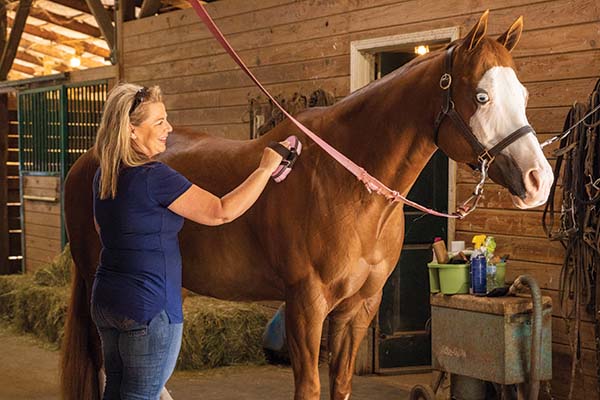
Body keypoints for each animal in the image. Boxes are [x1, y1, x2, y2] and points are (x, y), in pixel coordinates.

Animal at [61, 11, 552, 400]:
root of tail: (90, 158)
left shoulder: (360, 307)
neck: (349, 186)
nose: (539, 181)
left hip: (175, 287)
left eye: (525, 96)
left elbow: (341, 384)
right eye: (481, 96)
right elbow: (310, 387)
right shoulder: (306, 304)